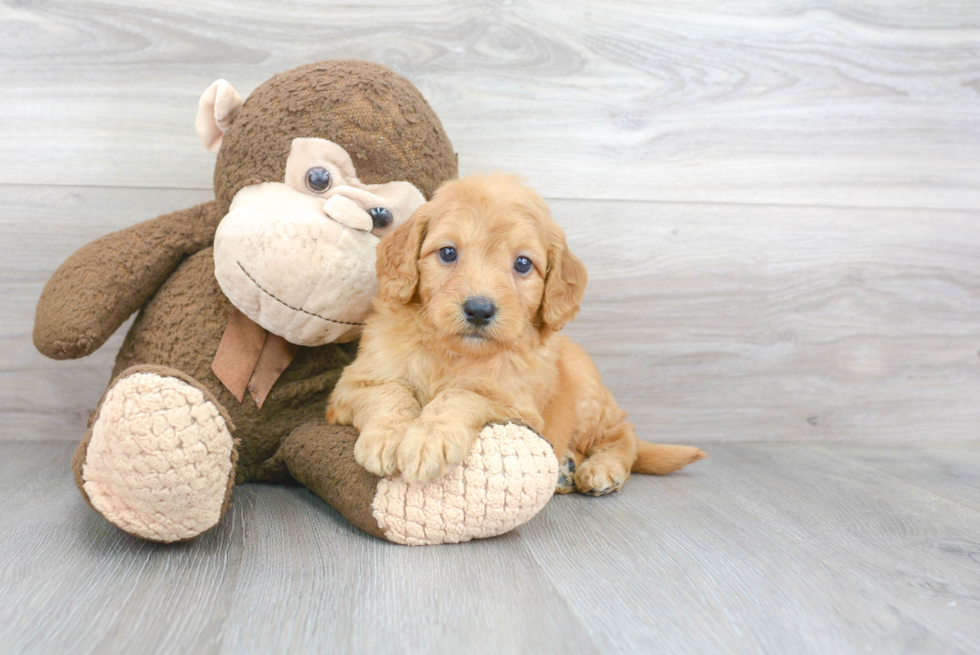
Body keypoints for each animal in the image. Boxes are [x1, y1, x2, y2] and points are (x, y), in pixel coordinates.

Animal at [330, 172, 704, 494]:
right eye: (448, 252)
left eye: (523, 264)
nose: (479, 310)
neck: (452, 353)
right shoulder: (351, 387)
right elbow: (391, 392)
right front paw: (388, 438)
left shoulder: (517, 406)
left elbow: (461, 395)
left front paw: (428, 439)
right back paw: (566, 469)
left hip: (589, 400)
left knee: (624, 433)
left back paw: (602, 468)